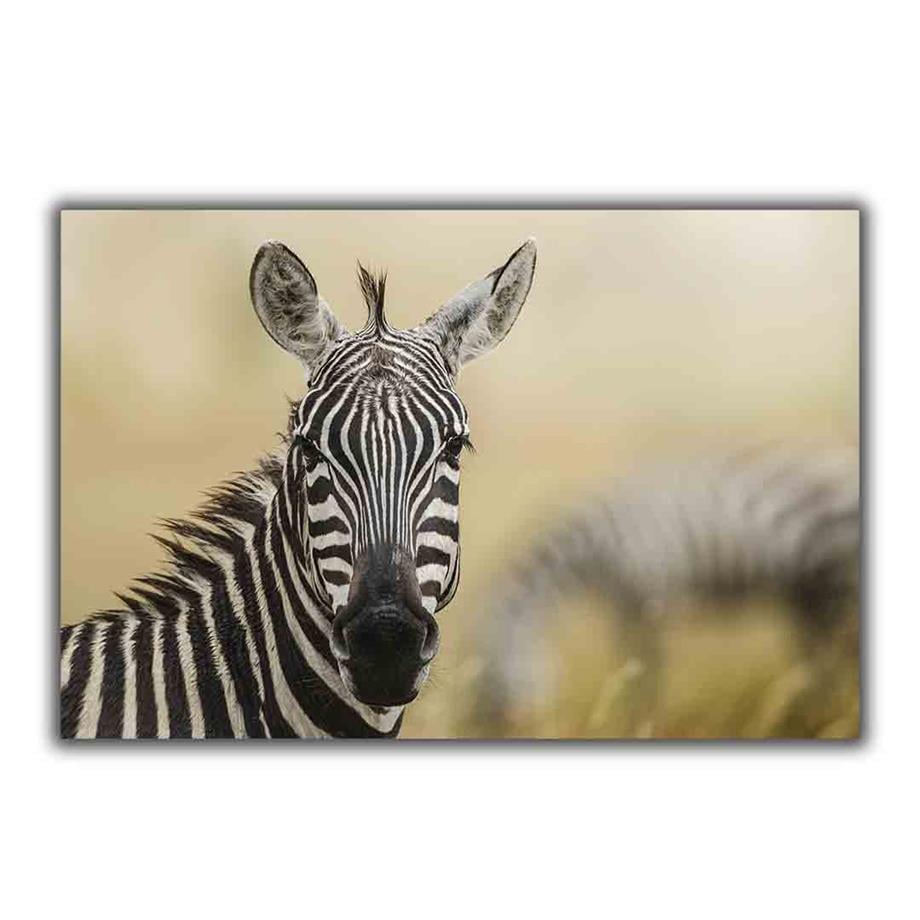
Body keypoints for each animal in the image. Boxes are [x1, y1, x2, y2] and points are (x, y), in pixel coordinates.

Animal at [472, 446, 860, 729]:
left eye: (493, 684)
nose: (501, 727)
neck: (596, 545)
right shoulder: (625, 604)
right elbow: (630, 663)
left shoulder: (650, 599)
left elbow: (647, 668)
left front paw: (642, 718)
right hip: (812, 594)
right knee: (821, 661)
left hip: (836, 585)